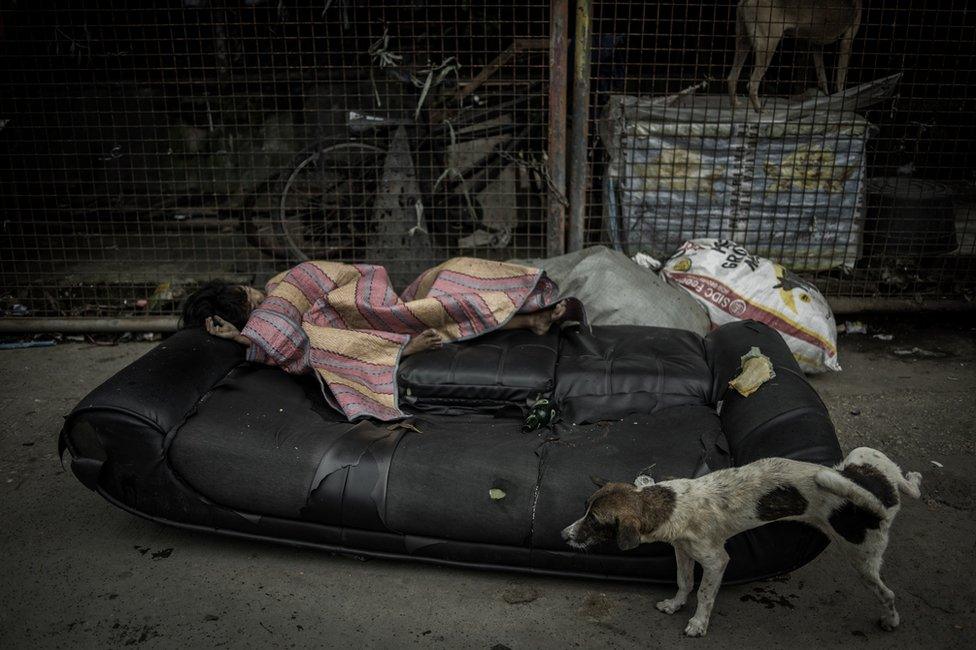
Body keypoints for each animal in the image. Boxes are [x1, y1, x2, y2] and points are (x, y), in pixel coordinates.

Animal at [564, 448, 924, 636]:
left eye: (594, 522)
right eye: (585, 508)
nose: (563, 535)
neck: (673, 504)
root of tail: (878, 497)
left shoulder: (716, 561)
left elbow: (704, 593)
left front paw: (698, 622)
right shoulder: (683, 551)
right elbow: (683, 582)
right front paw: (676, 604)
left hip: (861, 557)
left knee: (887, 593)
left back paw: (890, 620)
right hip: (864, 456)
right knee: (909, 486)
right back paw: (914, 479)